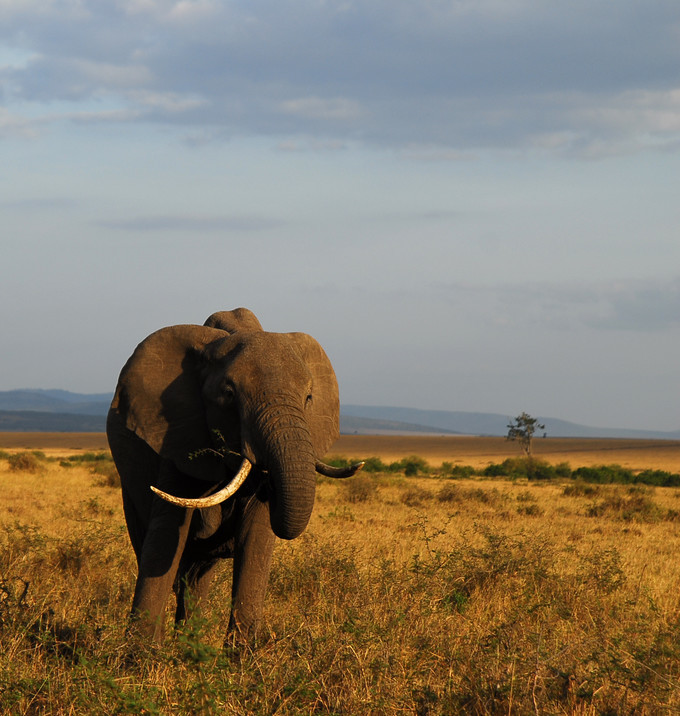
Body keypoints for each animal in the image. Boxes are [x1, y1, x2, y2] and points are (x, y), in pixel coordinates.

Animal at [106, 308, 362, 644]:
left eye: (308, 398)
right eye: (228, 395)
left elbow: (257, 537)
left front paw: (240, 657)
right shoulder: (177, 436)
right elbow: (165, 539)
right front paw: (139, 655)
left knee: (197, 575)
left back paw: (190, 644)